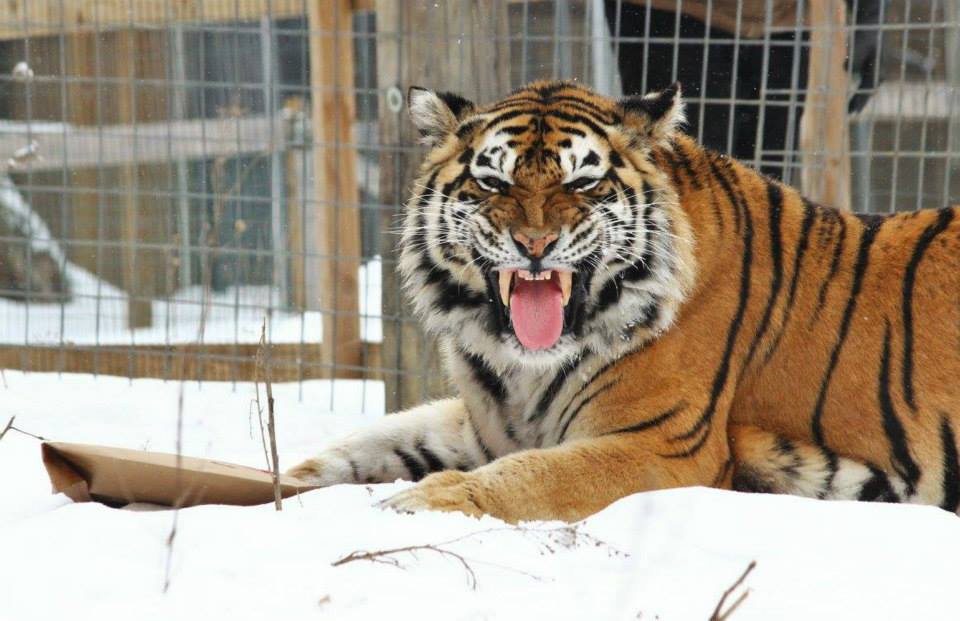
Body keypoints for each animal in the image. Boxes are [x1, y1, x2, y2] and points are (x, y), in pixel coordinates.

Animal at [287, 80, 960, 523]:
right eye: (494, 181)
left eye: (583, 183)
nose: (534, 243)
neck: (520, 372)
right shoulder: (484, 426)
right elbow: (362, 445)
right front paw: (283, 486)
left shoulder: (660, 443)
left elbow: (539, 474)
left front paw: (432, 499)